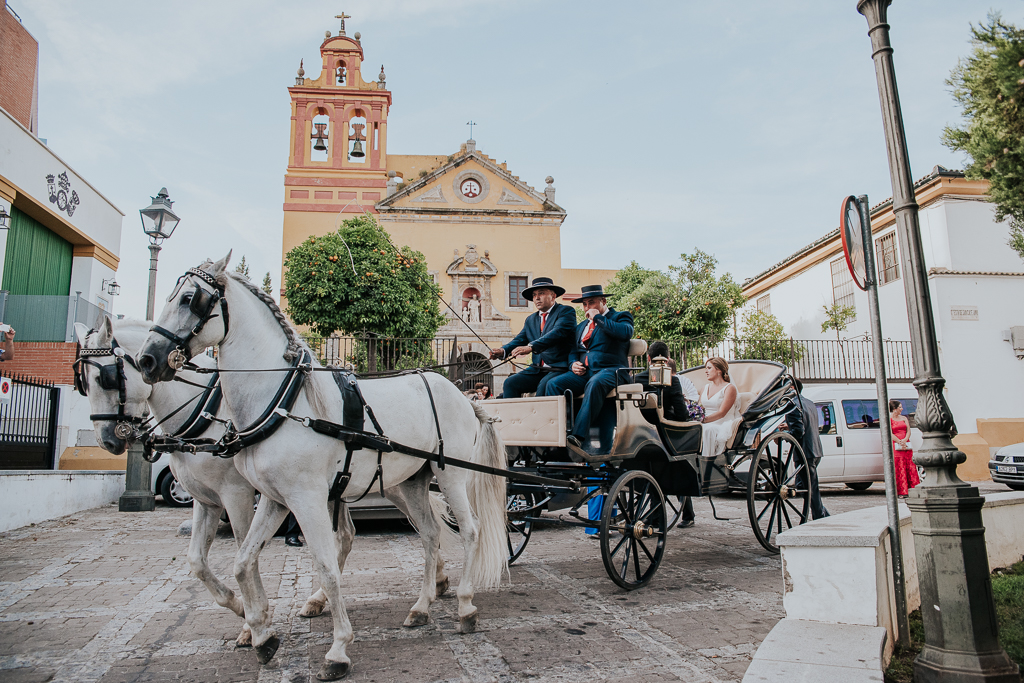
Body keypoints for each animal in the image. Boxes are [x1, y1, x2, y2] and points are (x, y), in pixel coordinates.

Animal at [136, 253, 507, 679]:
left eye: (190, 299)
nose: (147, 359)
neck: (285, 401)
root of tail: (465, 397)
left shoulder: (304, 498)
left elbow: (327, 566)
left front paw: (337, 649)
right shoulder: (274, 499)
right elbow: (244, 562)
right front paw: (261, 635)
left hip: (451, 474)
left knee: (471, 530)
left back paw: (465, 605)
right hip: (412, 481)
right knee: (430, 534)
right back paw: (421, 607)